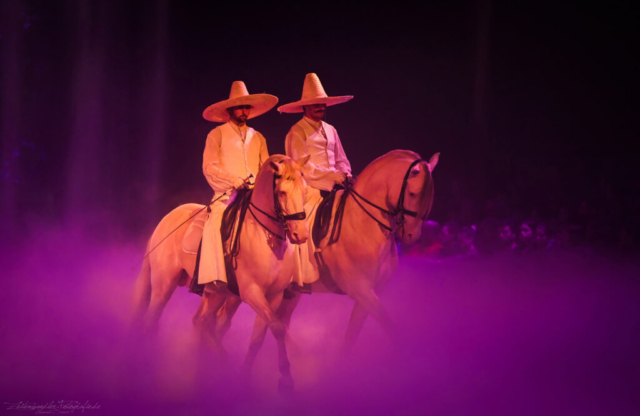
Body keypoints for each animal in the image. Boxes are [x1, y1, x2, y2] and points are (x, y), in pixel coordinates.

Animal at [132, 155, 308, 390]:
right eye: (282, 192)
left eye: (305, 190)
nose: (301, 234)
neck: (264, 236)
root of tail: (166, 220)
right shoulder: (251, 293)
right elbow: (277, 327)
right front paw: (285, 377)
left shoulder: (274, 295)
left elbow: (263, 334)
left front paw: (257, 375)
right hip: (163, 286)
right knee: (153, 321)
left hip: (215, 293)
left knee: (201, 322)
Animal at [231, 150, 440, 364]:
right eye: (413, 193)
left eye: (431, 195)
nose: (411, 236)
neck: (361, 223)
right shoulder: (361, 290)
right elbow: (391, 327)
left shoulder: (369, 293)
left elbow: (351, 336)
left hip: (290, 293)